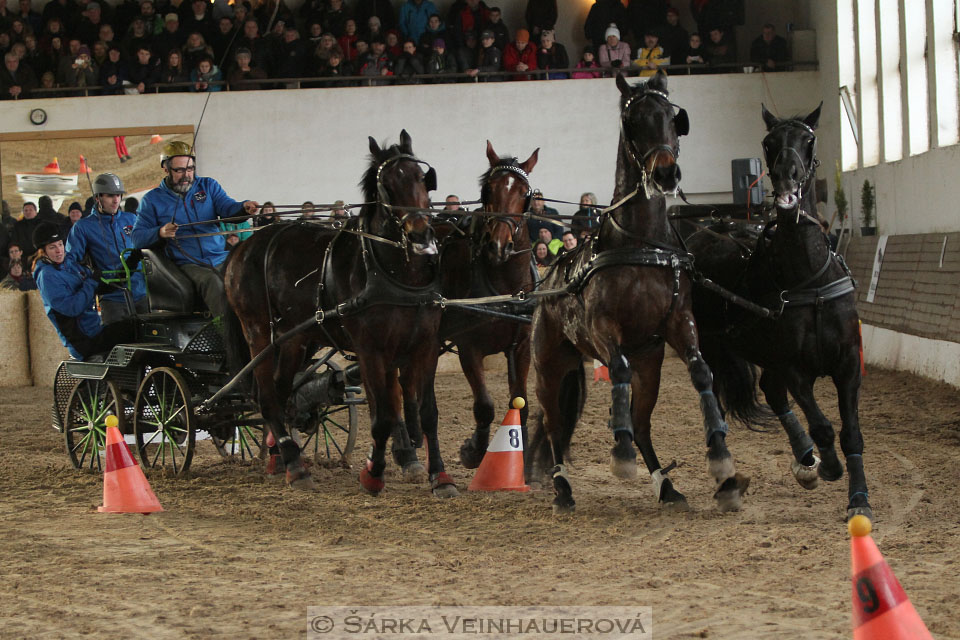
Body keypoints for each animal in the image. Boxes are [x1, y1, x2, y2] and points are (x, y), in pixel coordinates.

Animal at [223, 131, 460, 496]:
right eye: (386, 186)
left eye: (423, 178)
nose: (420, 234)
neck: (394, 273)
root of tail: (241, 248)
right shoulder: (371, 350)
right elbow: (383, 416)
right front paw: (373, 474)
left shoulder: (425, 346)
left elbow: (427, 413)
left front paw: (441, 476)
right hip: (258, 333)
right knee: (267, 397)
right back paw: (295, 467)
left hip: (294, 339)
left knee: (281, 391)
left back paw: (282, 458)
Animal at [524, 70, 752, 512]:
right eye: (633, 121)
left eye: (671, 118)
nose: (666, 174)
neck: (642, 243)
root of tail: (548, 283)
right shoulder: (602, 327)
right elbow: (617, 371)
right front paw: (620, 453)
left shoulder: (678, 321)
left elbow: (701, 371)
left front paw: (720, 457)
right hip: (549, 365)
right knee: (553, 423)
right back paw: (562, 487)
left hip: (650, 365)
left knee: (643, 423)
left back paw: (666, 485)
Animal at [684, 105, 872, 524]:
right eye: (769, 142)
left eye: (809, 139)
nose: (787, 176)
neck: (810, 279)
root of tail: (709, 227)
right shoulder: (795, 368)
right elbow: (822, 425)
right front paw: (830, 466)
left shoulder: (848, 363)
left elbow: (850, 432)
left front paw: (858, 497)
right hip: (715, 348)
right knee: (718, 402)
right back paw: (730, 477)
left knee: (771, 393)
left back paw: (805, 460)